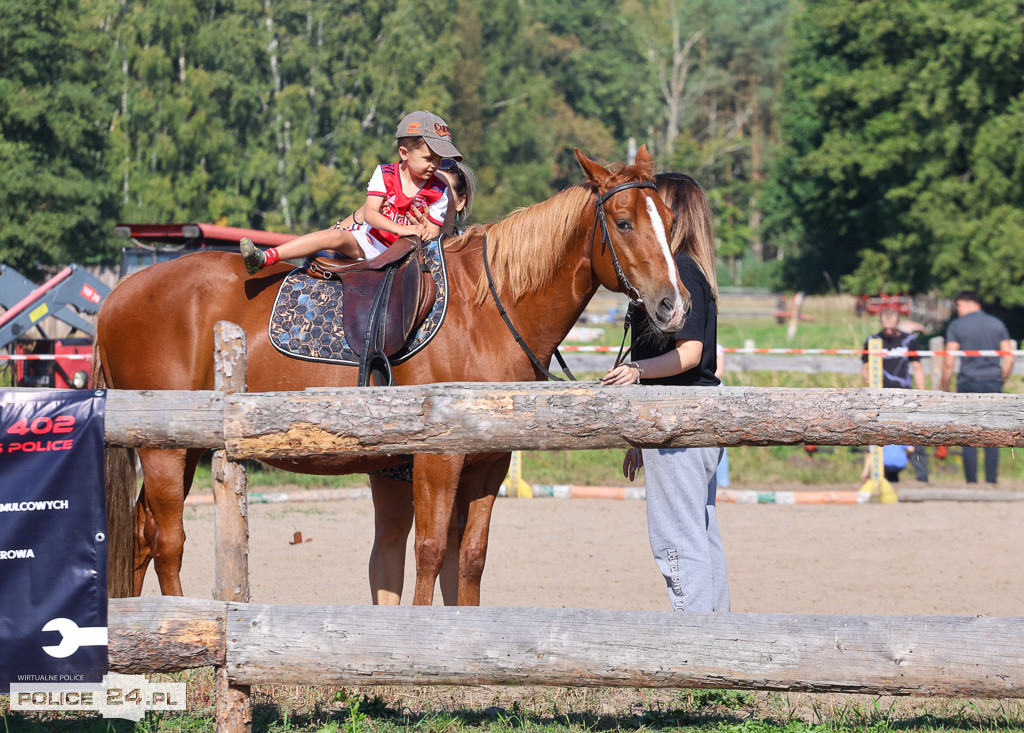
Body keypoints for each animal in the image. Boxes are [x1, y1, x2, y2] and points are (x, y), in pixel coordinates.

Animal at [94, 146, 688, 606]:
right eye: (624, 222)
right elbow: (429, 552)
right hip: (165, 451)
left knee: (144, 534)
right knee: (168, 540)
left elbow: (470, 558)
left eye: (667, 219)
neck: (486, 313)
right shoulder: (437, 459)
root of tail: (116, 296)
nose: (673, 305)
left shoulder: (489, 464)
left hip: (185, 447)